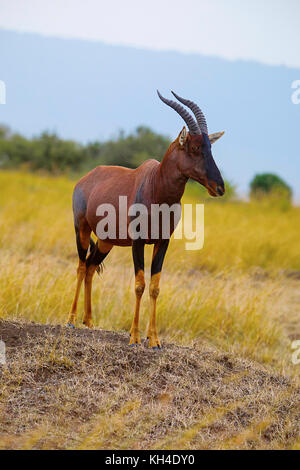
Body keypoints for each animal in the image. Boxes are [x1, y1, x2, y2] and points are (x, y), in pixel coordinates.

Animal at [66, 90, 225, 346]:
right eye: (194, 147)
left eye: (210, 147)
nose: (219, 187)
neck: (155, 185)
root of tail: (87, 178)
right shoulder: (138, 242)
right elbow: (140, 284)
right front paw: (134, 336)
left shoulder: (163, 242)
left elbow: (155, 287)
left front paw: (154, 340)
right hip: (81, 228)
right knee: (81, 266)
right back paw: (70, 319)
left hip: (106, 241)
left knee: (91, 266)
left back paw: (89, 321)